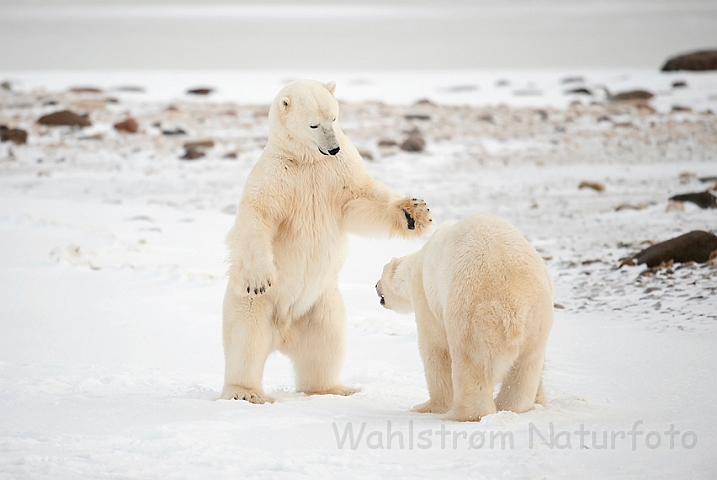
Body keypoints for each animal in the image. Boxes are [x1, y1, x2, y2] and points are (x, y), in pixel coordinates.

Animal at [220, 80, 430, 404]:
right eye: (313, 124)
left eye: (334, 117)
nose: (333, 148)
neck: (309, 159)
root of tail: (284, 333)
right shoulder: (276, 176)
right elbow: (258, 215)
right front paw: (259, 278)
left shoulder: (339, 171)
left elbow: (362, 198)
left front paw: (414, 212)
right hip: (252, 306)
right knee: (247, 341)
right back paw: (246, 393)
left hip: (320, 304)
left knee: (326, 344)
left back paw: (335, 388)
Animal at [374, 214, 552, 420]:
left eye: (381, 275)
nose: (375, 286)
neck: (420, 259)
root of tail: (515, 308)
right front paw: (540, 400)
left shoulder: (426, 294)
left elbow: (435, 347)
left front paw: (427, 406)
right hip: (537, 321)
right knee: (527, 365)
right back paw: (511, 406)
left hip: (473, 313)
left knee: (471, 361)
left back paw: (460, 414)